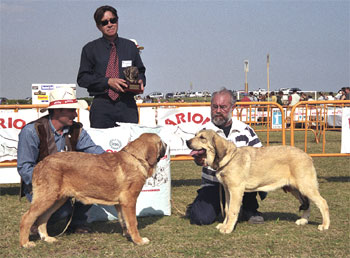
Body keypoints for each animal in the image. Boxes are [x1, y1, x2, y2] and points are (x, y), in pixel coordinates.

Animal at [19, 133, 167, 248]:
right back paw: (25, 243)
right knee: (27, 218)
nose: (166, 143)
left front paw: (128, 235)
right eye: (161, 142)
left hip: (57, 200)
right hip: (47, 198)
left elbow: (123, 221)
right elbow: (133, 222)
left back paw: (47, 238)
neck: (136, 158)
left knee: (42, 218)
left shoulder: (120, 204)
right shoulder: (129, 201)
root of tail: (40, 164)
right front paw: (139, 241)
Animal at [187, 129, 330, 234]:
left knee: (322, 202)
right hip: (296, 189)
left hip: (305, 186)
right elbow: (227, 209)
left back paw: (325, 225)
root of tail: (307, 156)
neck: (229, 158)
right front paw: (224, 224)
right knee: (308, 203)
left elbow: (232, 210)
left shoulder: (236, 190)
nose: (187, 141)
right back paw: (303, 220)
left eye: (202, 137)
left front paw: (227, 228)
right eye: (195, 135)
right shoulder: (227, 190)